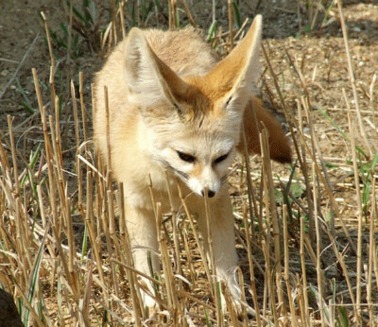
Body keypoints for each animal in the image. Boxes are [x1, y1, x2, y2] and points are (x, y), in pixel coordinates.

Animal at [93, 16, 290, 310]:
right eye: (185, 156)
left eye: (222, 157)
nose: (208, 191)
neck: (173, 188)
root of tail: (165, 31)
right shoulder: (137, 204)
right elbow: (145, 266)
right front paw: (153, 304)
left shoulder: (217, 205)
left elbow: (225, 262)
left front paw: (233, 304)